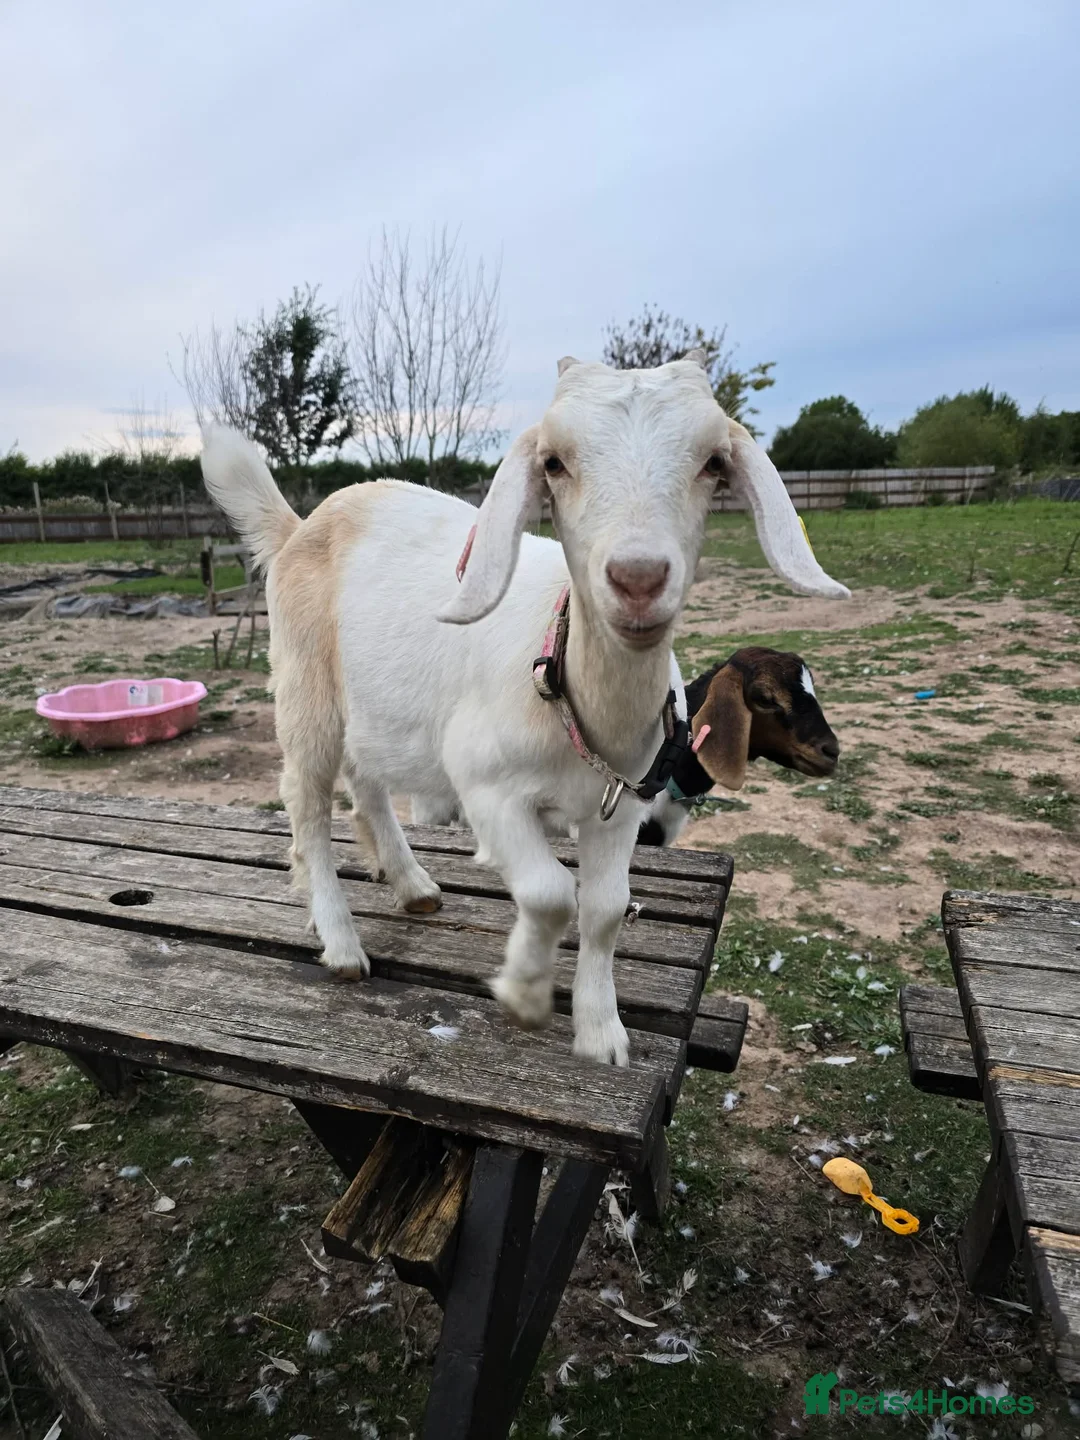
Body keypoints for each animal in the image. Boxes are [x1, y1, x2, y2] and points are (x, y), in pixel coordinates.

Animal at [200, 352, 849, 1065]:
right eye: (555, 462)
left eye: (712, 462)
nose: (638, 578)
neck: (570, 689)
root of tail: (301, 526)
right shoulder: (486, 788)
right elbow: (550, 892)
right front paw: (524, 992)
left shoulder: (623, 808)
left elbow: (605, 908)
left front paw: (601, 1032)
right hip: (306, 691)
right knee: (308, 806)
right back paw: (341, 942)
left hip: (375, 708)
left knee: (366, 786)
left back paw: (412, 884)